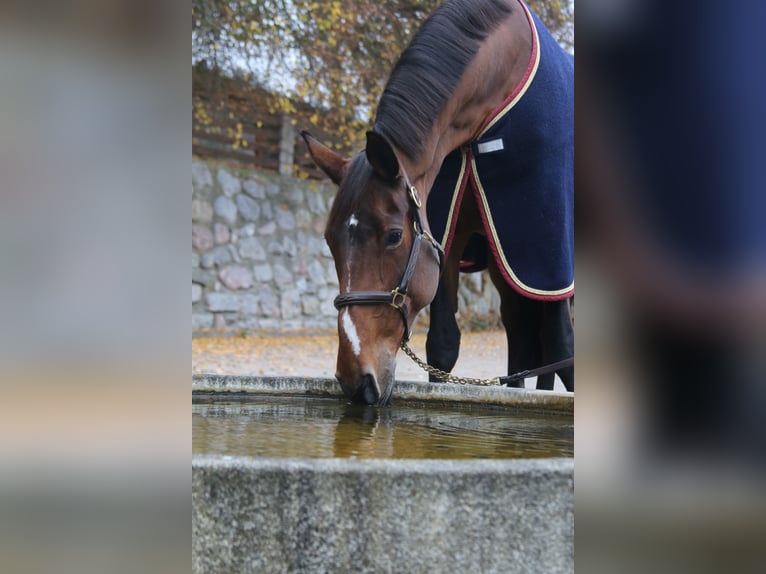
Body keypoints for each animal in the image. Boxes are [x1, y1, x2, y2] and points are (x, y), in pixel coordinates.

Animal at [304, 0, 572, 408]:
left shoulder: (551, 254)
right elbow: (443, 345)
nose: (357, 381)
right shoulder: (447, 234)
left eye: (394, 235)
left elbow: (562, 346)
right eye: (330, 241)